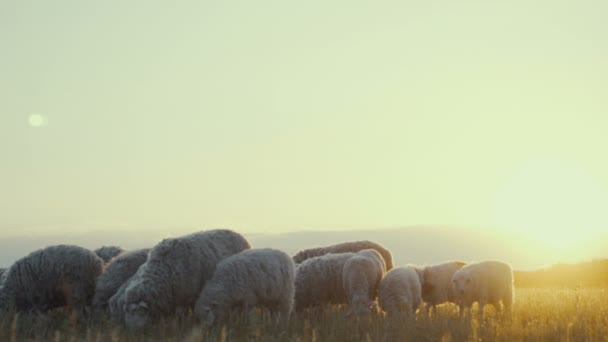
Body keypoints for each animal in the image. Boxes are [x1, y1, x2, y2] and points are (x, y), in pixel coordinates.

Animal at [117, 228, 251, 330]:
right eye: (127, 312)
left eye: (138, 312)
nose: (133, 333)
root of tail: (240, 236)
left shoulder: (185, 298)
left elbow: (182, 317)